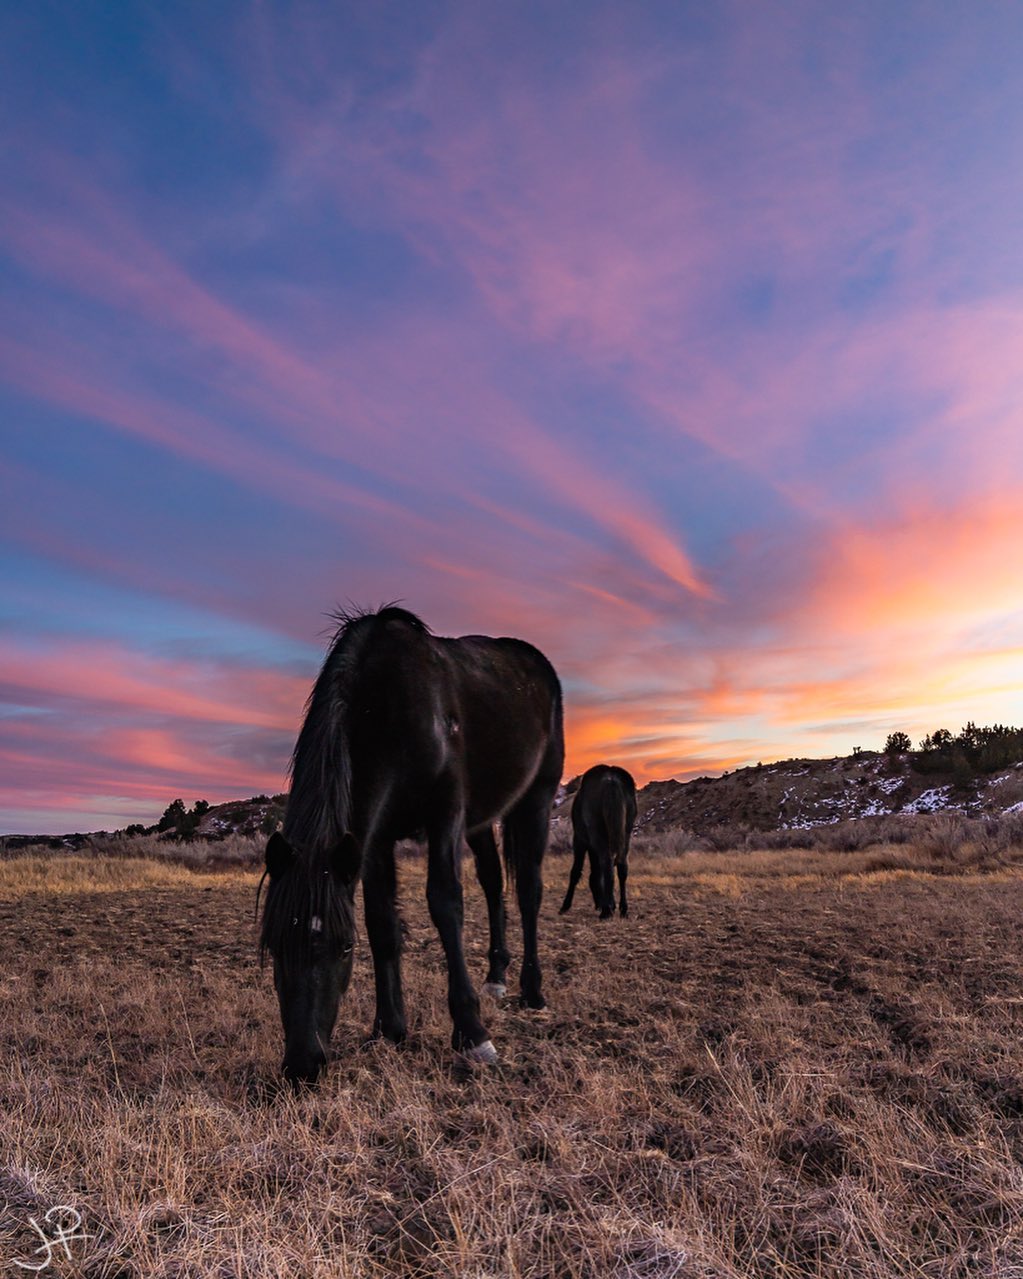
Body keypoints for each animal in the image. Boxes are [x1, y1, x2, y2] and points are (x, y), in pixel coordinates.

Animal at [255, 603, 560, 1084]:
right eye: (275, 945)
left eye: (344, 948)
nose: (303, 1065)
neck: (388, 709)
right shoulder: (374, 838)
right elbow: (382, 923)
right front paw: (389, 1028)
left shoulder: (445, 815)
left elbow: (446, 904)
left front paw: (472, 1034)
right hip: (481, 822)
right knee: (494, 884)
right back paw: (496, 975)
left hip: (537, 798)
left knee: (529, 891)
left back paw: (532, 991)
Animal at [562, 767, 634, 920]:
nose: (599, 904)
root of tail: (611, 779)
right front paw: (611, 903)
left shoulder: (580, 840)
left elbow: (576, 871)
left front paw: (565, 905)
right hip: (625, 835)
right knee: (621, 867)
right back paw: (623, 908)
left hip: (597, 836)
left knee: (607, 863)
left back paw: (606, 911)